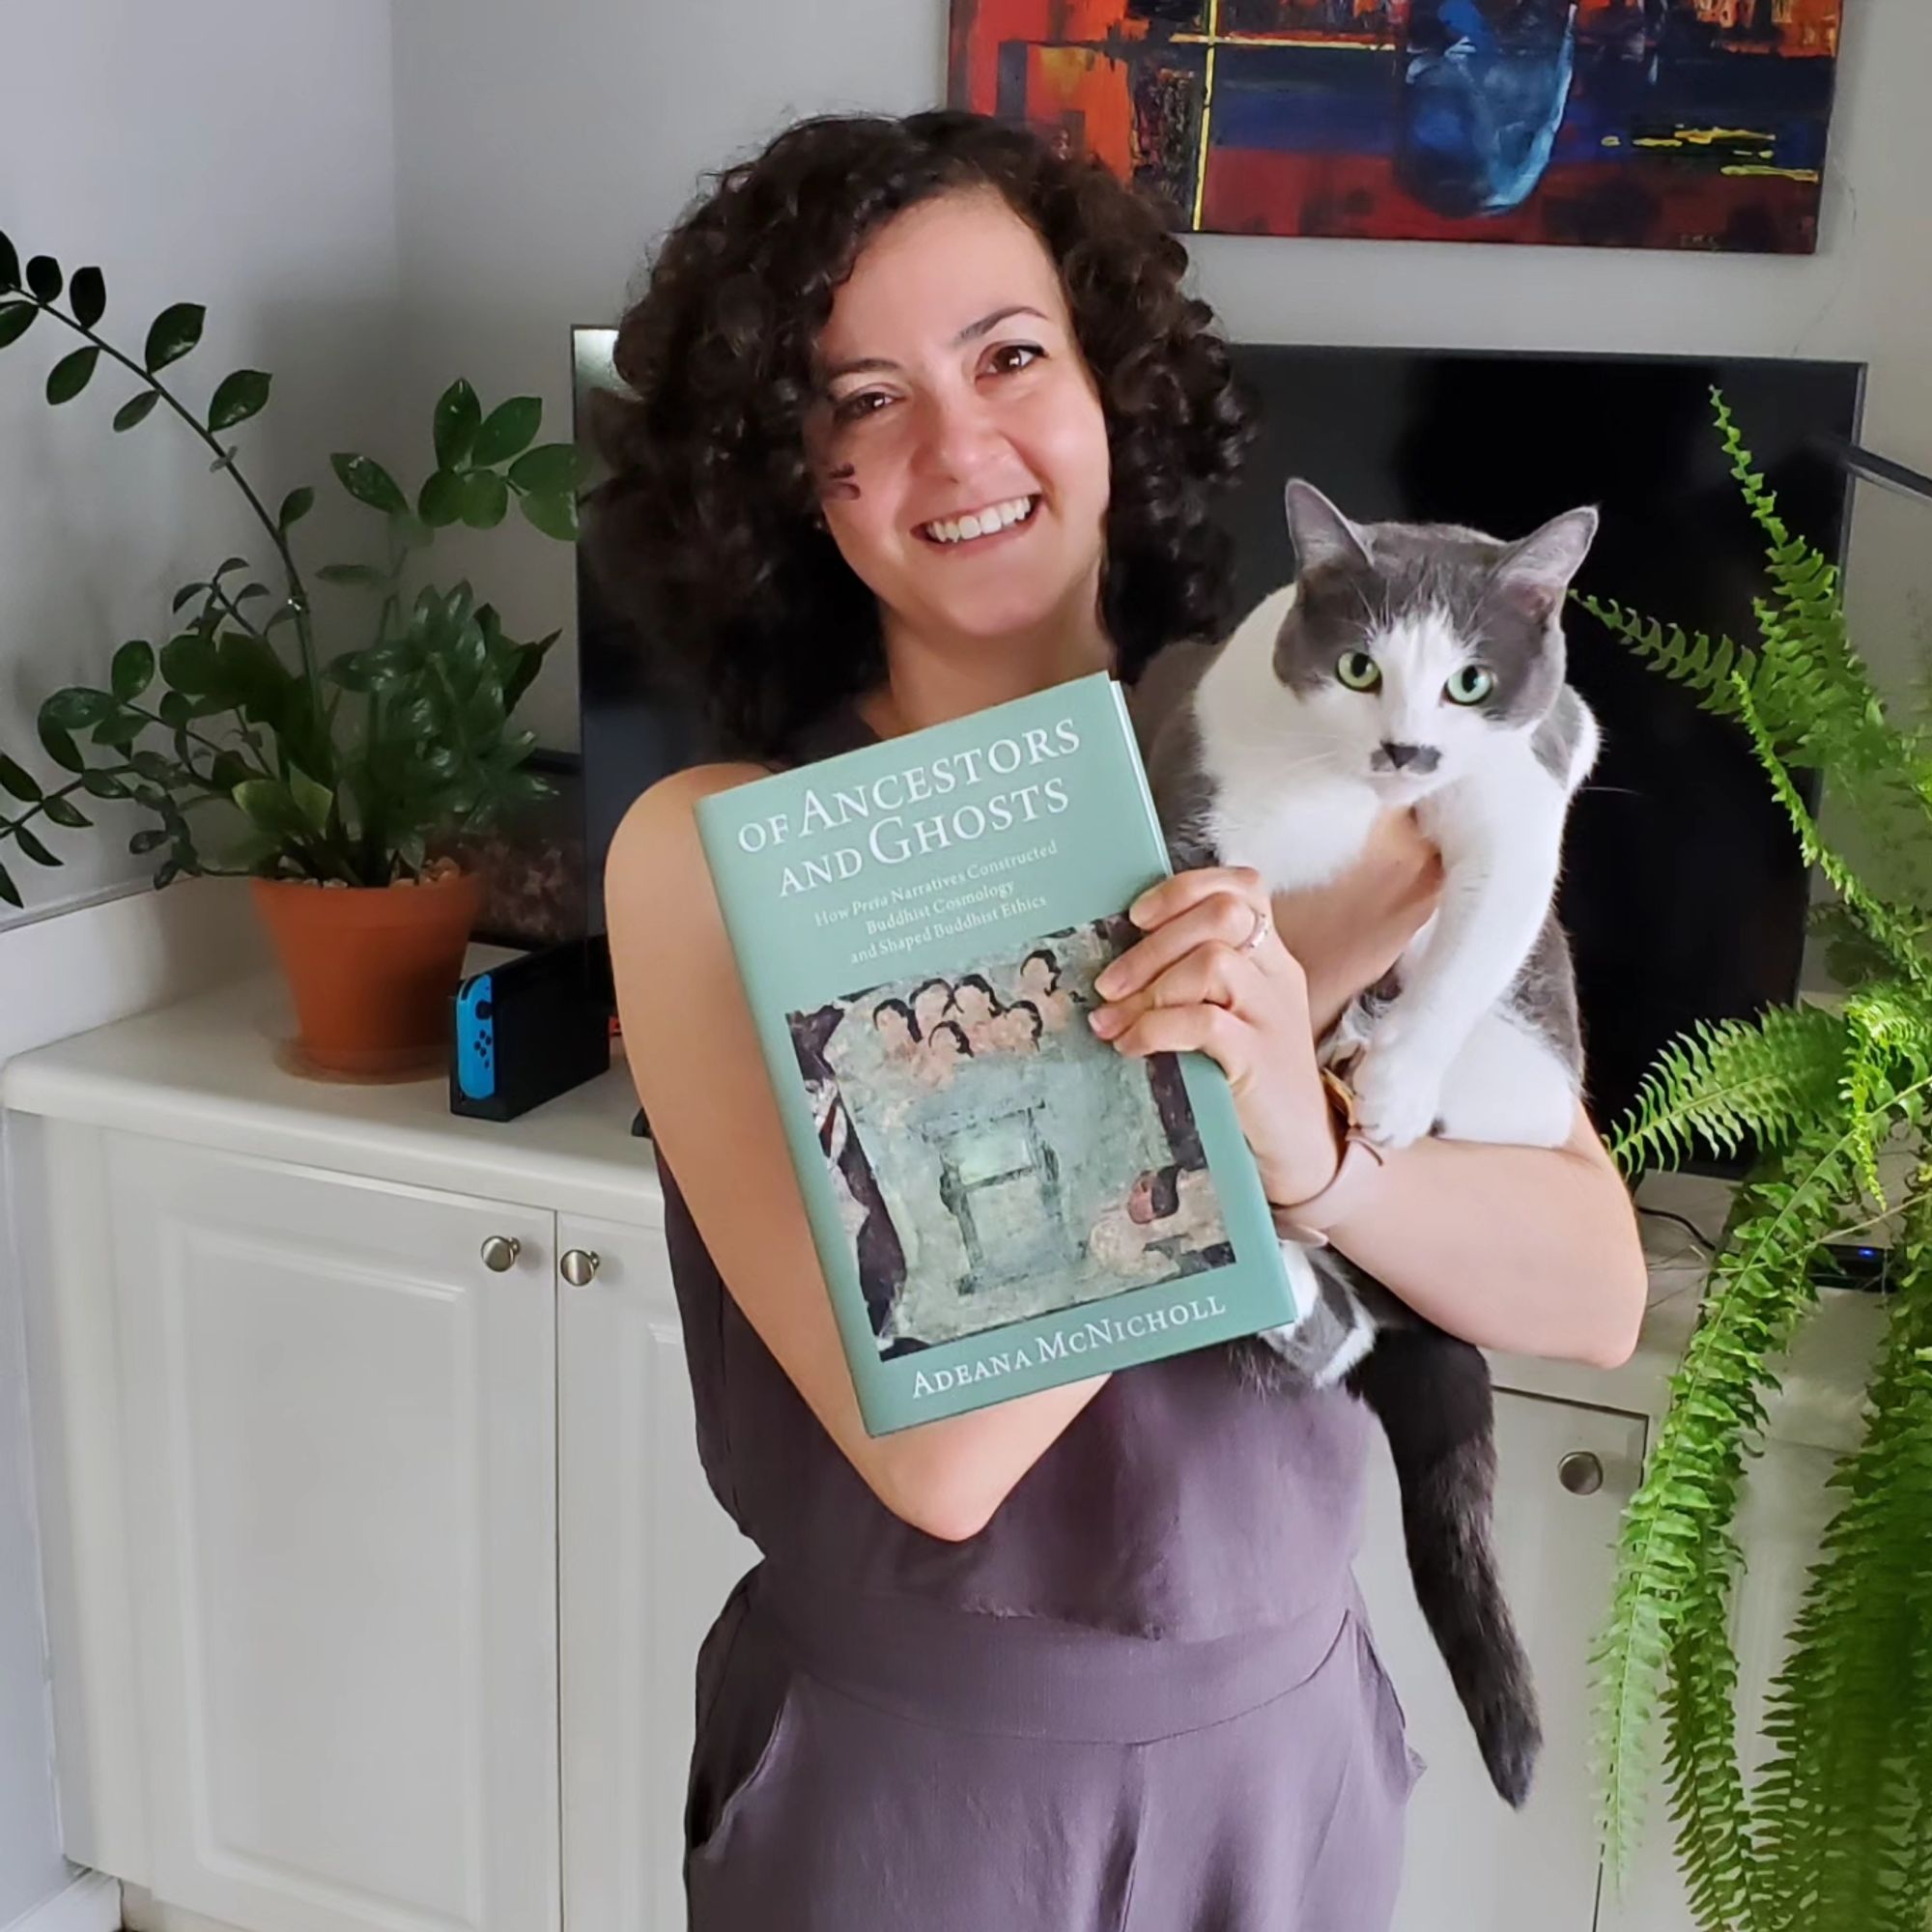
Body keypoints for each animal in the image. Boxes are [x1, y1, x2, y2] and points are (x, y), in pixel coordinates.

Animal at [1128, 475, 1600, 1801]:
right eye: (1355, 667)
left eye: (1469, 683)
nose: (1406, 750)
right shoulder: (1199, 800)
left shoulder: (1531, 770)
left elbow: (1483, 919)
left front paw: (1386, 1084)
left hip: (1541, 1036)